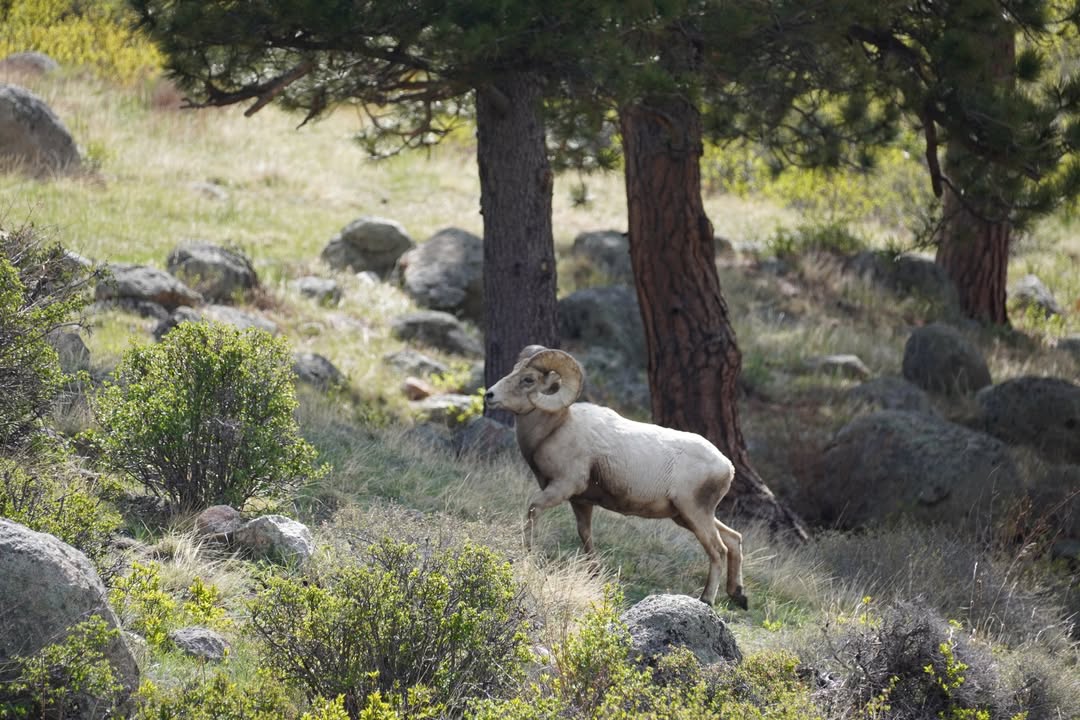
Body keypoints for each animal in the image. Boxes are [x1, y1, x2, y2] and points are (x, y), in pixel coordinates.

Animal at [485, 345, 747, 609]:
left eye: (528, 379)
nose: (489, 395)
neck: (556, 428)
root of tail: (727, 467)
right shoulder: (581, 502)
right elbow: (585, 535)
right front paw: (594, 572)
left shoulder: (562, 487)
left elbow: (533, 510)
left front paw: (528, 552)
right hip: (686, 516)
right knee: (734, 539)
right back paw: (739, 595)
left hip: (695, 514)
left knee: (719, 550)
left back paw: (707, 599)